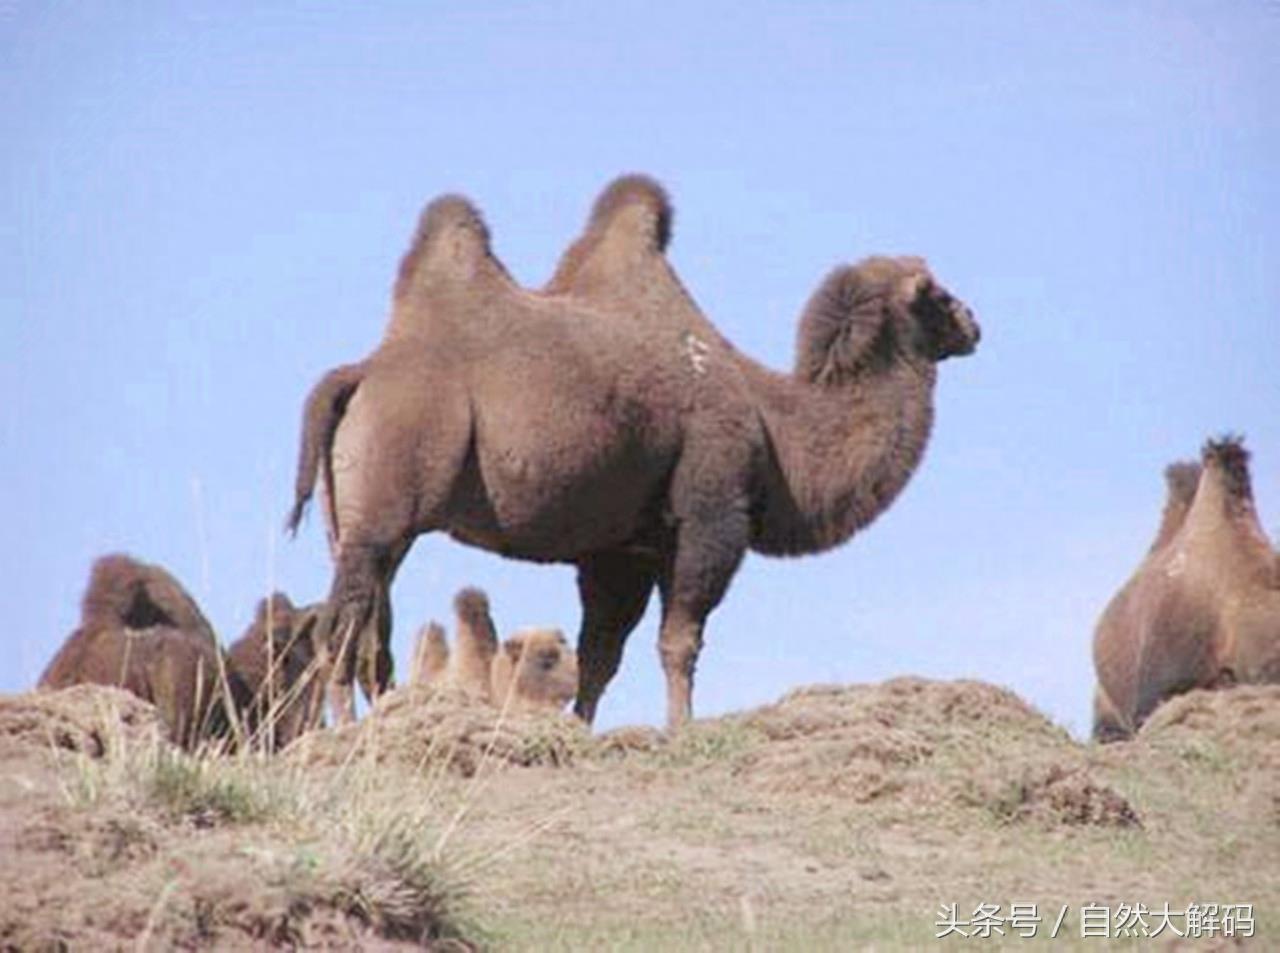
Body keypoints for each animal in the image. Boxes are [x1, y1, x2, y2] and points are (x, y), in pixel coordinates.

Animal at [290, 175, 983, 726]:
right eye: (937, 294)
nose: (975, 324)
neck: (774, 423)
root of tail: (359, 374)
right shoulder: (710, 513)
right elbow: (680, 640)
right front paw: (680, 730)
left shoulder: (623, 547)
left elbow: (601, 654)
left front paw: (582, 730)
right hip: (387, 500)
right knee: (340, 626)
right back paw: (345, 728)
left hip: (358, 522)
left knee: (370, 627)